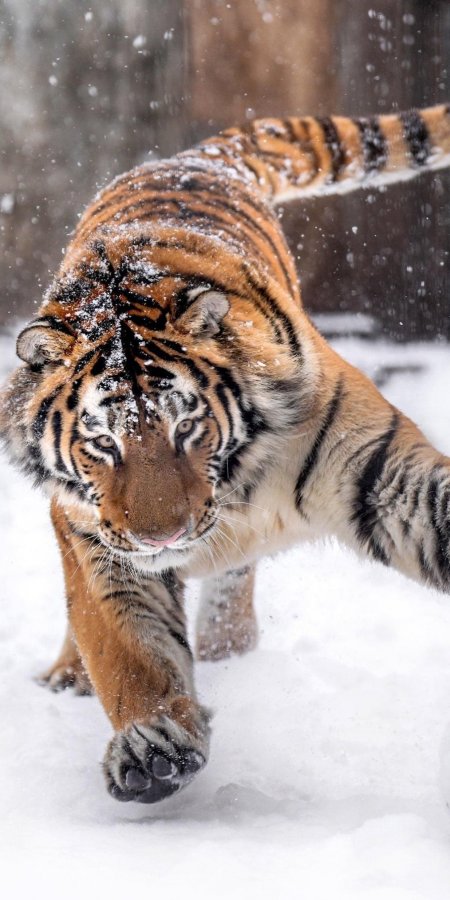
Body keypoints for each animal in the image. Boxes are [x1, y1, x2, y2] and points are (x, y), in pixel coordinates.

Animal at [1, 104, 450, 805]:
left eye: (188, 427)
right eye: (103, 442)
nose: (162, 537)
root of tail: (195, 157)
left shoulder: (374, 471)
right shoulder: (99, 542)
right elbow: (129, 652)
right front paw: (153, 745)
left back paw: (228, 648)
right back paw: (70, 675)